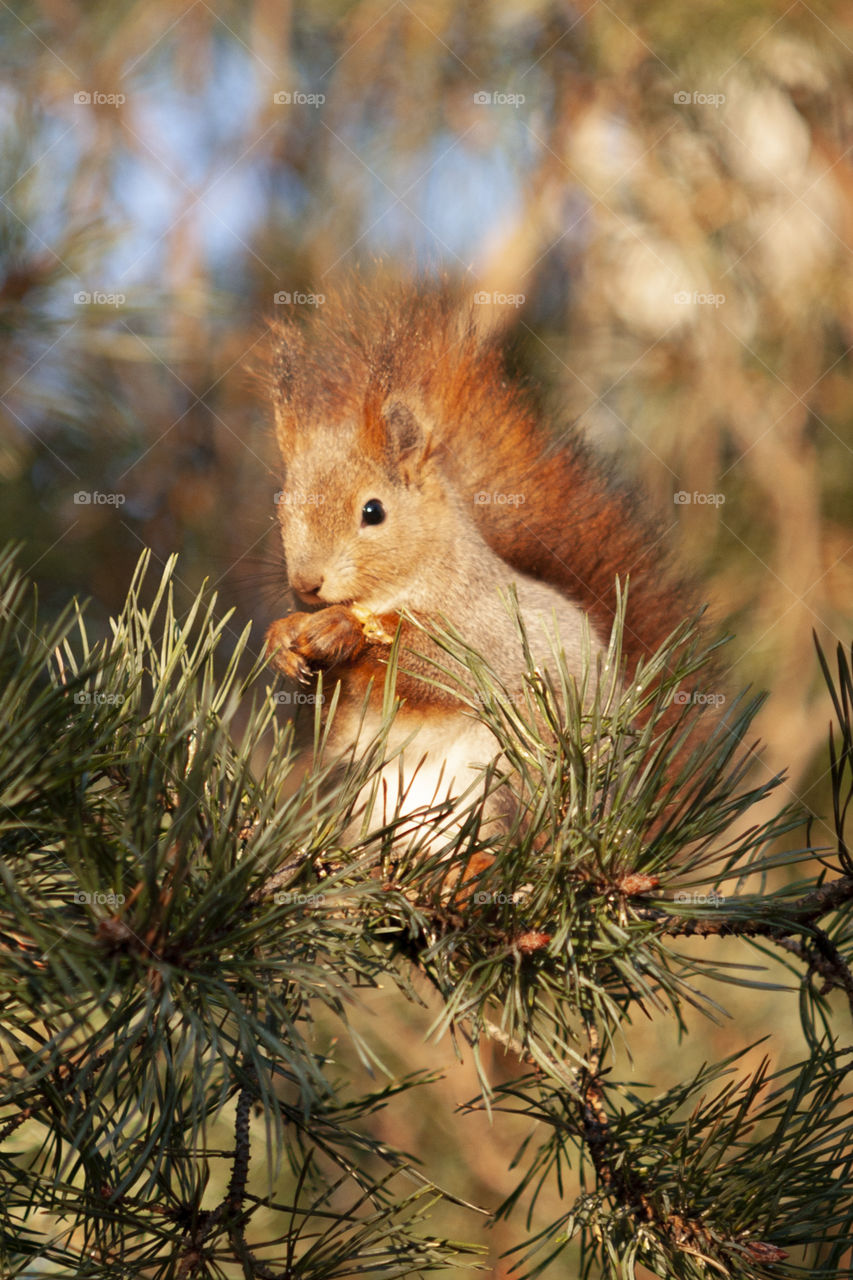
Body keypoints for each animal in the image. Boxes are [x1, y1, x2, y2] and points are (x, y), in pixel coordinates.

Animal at [264, 278, 699, 846]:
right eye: (281, 505)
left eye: (373, 512)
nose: (307, 583)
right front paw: (284, 637)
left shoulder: (487, 630)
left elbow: (443, 668)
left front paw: (343, 630)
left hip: (514, 774)